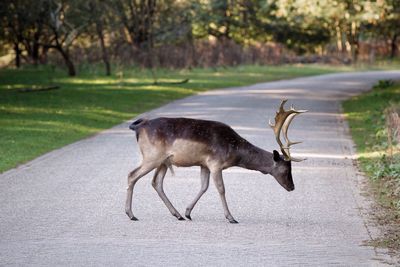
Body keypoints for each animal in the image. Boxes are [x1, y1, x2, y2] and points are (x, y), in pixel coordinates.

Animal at [125, 99, 306, 223]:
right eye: (286, 169)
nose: (292, 187)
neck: (235, 151)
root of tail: (138, 127)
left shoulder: (204, 164)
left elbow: (204, 187)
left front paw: (188, 212)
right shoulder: (216, 163)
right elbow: (221, 189)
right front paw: (231, 217)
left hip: (163, 161)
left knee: (156, 182)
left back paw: (177, 214)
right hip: (152, 156)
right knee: (132, 175)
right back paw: (131, 214)